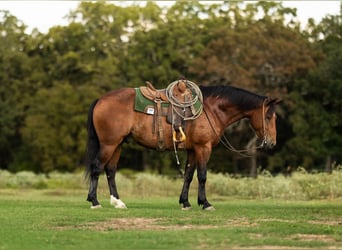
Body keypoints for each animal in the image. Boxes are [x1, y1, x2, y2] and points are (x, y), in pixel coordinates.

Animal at [85, 83, 280, 210]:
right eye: (268, 117)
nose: (271, 143)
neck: (211, 109)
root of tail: (101, 99)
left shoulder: (193, 150)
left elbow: (188, 175)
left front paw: (185, 202)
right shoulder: (203, 148)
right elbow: (202, 176)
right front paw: (205, 203)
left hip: (117, 144)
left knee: (110, 170)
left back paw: (117, 202)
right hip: (109, 144)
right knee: (97, 167)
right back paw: (94, 201)